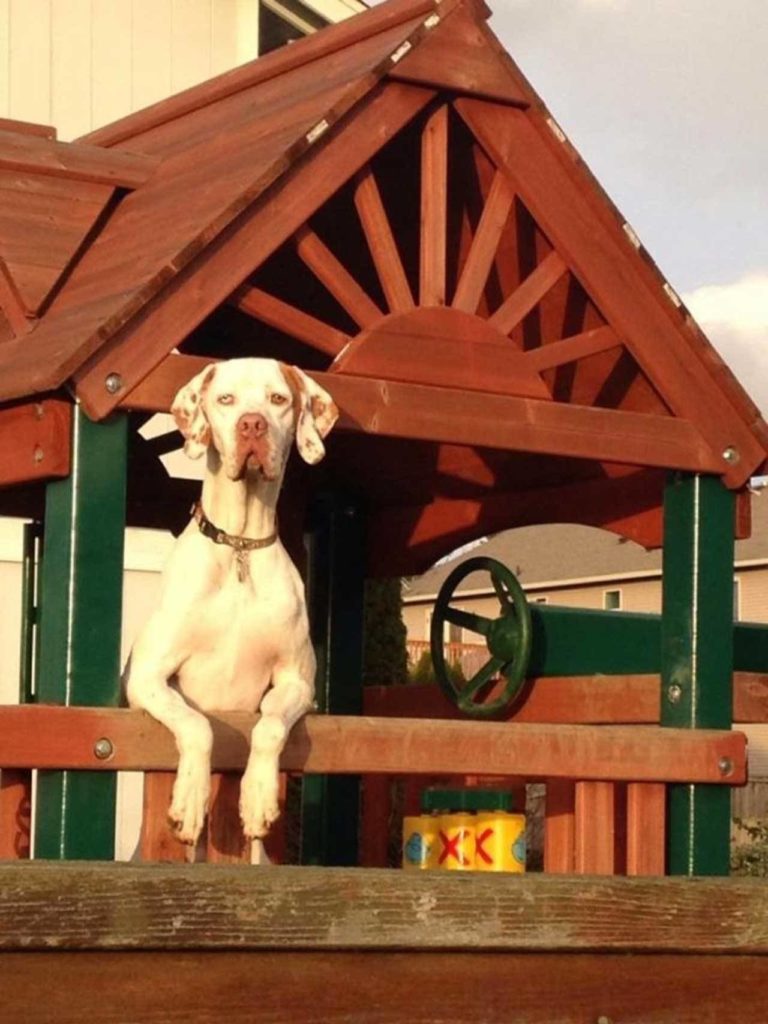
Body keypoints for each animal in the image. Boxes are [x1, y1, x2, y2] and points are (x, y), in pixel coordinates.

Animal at [124, 360, 337, 847]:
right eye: (226, 400)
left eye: (278, 399)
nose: (252, 425)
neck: (239, 544)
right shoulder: (146, 678)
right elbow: (197, 725)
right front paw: (189, 800)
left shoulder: (298, 682)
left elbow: (270, 725)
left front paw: (257, 797)